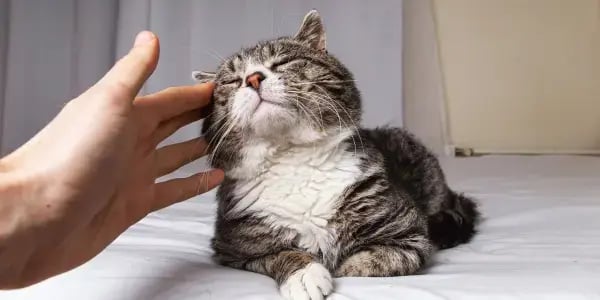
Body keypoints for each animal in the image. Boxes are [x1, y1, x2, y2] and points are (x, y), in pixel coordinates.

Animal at [192, 9, 478, 300]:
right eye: (232, 81)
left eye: (283, 62)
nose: (252, 79)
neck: (292, 157)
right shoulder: (232, 249)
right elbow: (279, 254)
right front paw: (304, 273)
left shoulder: (410, 234)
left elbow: (374, 262)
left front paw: (341, 267)